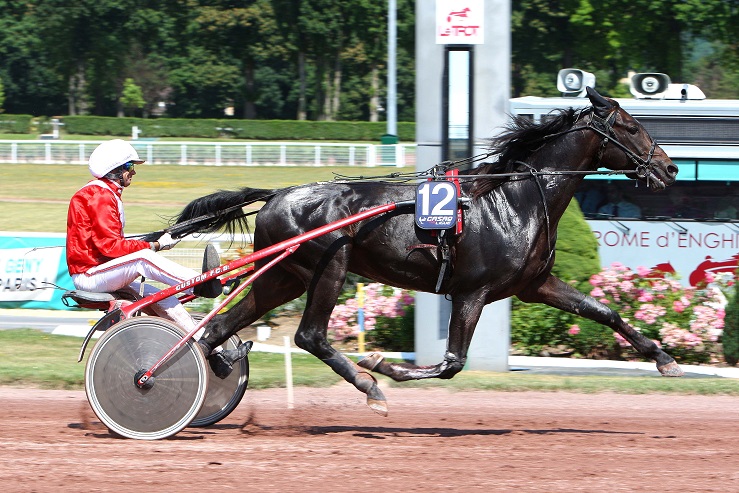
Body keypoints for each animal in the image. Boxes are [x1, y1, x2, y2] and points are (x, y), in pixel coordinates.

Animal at [178, 86, 684, 414]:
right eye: (631, 127)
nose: (670, 168)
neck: (515, 199)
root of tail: (277, 195)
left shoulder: (535, 284)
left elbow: (605, 311)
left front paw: (664, 359)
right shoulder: (472, 292)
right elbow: (452, 363)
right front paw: (384, 365)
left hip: (283, 276)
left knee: (219, 326)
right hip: (330, 265)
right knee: (310, 336)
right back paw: (369, 386)